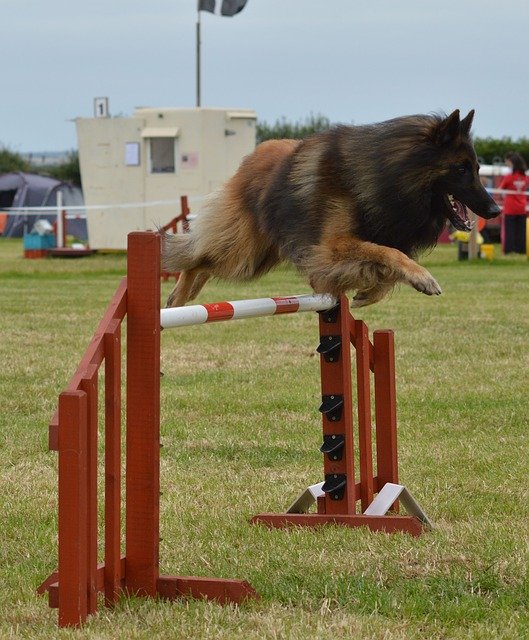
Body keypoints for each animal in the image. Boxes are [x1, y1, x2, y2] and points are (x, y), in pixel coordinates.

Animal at [161, 109, 500, 308]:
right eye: (461, 169)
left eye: (478, 168)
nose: (495, 209)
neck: (388, 178)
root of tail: (253, 156)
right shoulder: (332, 246)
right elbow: (388, 254)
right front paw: (423, 278)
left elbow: (389, 263)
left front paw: (369, 294)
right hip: (244, 252)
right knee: (196, 258)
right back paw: (178, 297)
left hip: (258, 256)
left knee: (203, 261)